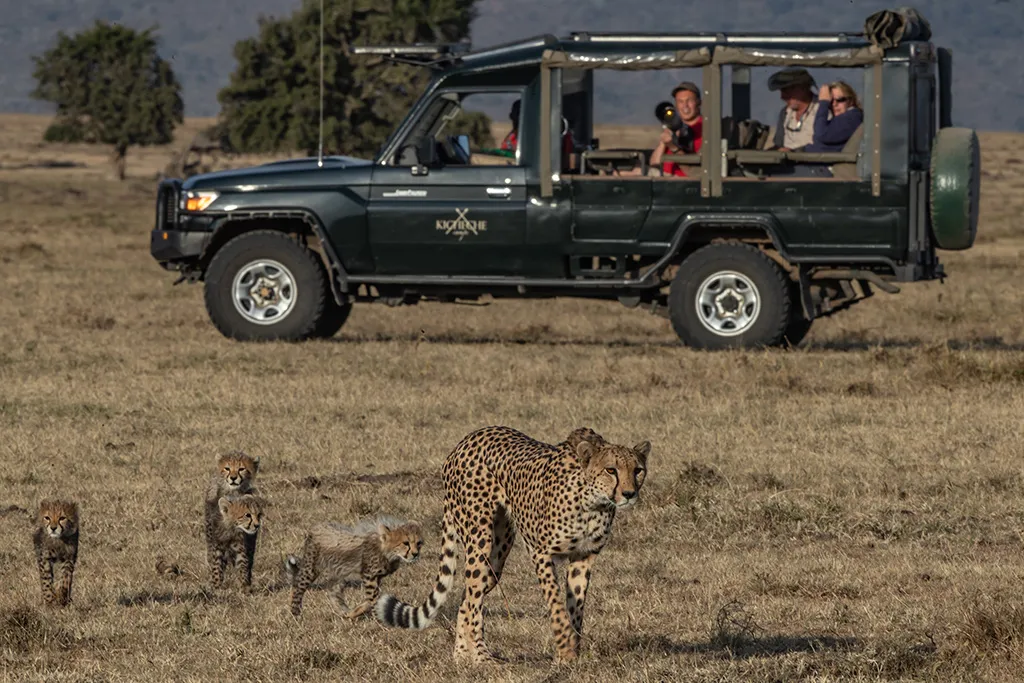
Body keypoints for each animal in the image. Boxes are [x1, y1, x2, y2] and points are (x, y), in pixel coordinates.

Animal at [374, 423, 647, 663]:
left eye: (638, 470)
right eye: (611, 470)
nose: (629, 494)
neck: (592, 503)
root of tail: (464, 442)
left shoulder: (584, 557)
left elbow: (575, 608)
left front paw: (570, 652)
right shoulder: (540, 552)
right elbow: (557, 606)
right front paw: (565, 649)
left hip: (496, 558)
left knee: (466, 598)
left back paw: (462, 656)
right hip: (479, 541)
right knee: (472, 600)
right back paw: (482, 658)